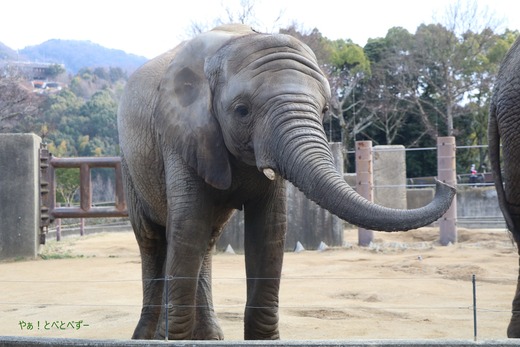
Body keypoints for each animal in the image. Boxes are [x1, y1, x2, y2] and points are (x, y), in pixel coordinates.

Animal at [117, 23, 456, 342]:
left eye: (324, 110)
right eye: (242, 110)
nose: (444, 184)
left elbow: (269, 231)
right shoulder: (182, 134)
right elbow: (189, 227)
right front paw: (174, 339)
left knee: (207, 240)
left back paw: (210, 336)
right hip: (128, 165)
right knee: (154, 239)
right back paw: (149, 336)